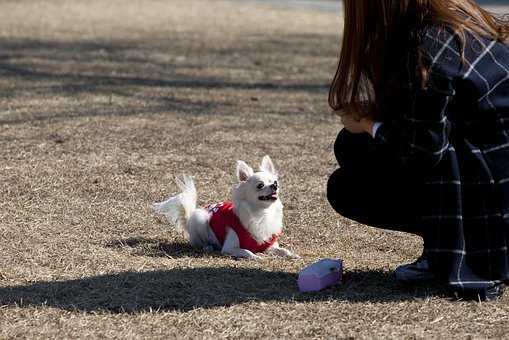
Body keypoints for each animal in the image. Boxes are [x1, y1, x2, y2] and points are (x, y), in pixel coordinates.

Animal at [154, 155, 298, 258]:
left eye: (275, 182)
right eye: (260, 185)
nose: (274, 186)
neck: (262, 213)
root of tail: (188, 219)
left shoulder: (270, 246)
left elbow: (283, 250)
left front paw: (292, 254)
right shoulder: (229, 248)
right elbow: (247, 251)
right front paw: (256, 257)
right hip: (201, 218)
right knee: (198, 243)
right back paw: (208, 247)